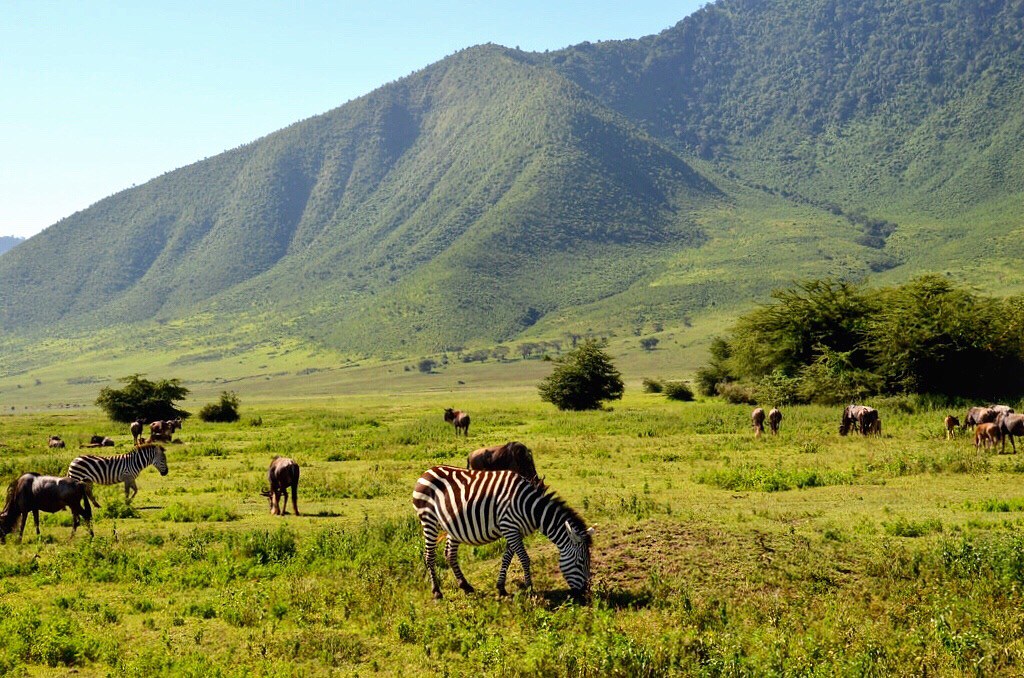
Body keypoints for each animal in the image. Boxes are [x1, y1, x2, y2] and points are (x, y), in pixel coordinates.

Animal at [411, 467, 598, 602]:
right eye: (581, 562)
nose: (585, 593)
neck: (530, 508)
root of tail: (427, 471)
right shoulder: (509, 527)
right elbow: (524, 559)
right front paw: (530, 589)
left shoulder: (514, 531)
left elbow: (507, 558)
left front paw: (501, 588)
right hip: (428, 520)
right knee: (429, 556)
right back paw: (437, 592)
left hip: (452, 526)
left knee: (450, 554)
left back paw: (466, 586)